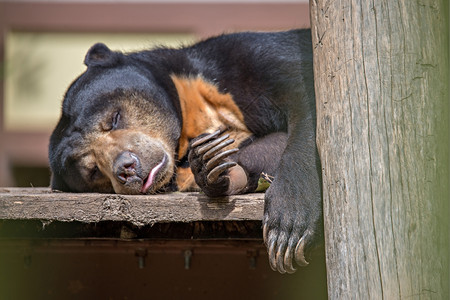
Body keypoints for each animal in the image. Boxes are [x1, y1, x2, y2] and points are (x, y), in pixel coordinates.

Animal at [48, 28, 324, 274]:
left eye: (113, 119)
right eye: (93, 170)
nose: (126, 168)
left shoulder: (257, 57)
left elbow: (306, 101)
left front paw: (287, 224)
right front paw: (211, 165)